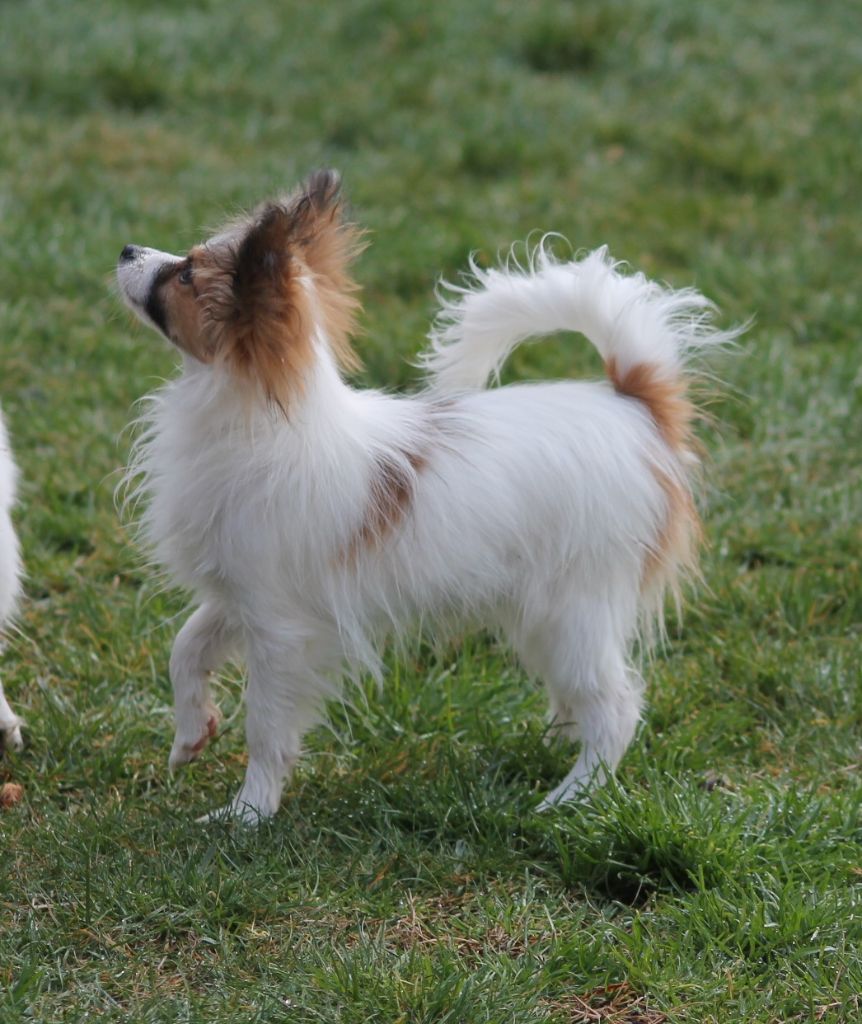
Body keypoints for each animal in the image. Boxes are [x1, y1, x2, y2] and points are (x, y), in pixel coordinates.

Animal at [114, 172, 733, 819]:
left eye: (186, 275)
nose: (126, 250)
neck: (261, 423)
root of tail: (635, 406)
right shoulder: (240, 596)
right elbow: (186, 648)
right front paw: (191, 735)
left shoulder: (281, 628)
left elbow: (266, 728)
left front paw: (248, 813)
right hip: (541, 615)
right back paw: (556, 743)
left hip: (572, 608)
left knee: (616, 707)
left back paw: (571, 797)